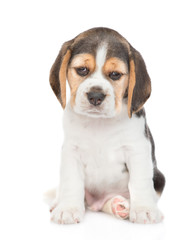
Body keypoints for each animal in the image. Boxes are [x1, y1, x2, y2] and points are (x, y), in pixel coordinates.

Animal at [48, 27, 165, 224]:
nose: (95, 96)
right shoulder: (71, 150)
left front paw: (144, 210)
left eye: (115, 74)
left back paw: (120, 206)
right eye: (82, 70)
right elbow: (71, 181)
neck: (100, 123)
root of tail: (97, 202)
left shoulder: (137, 149)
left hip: (159, 178)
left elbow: (140, 181)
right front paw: (68, 208)